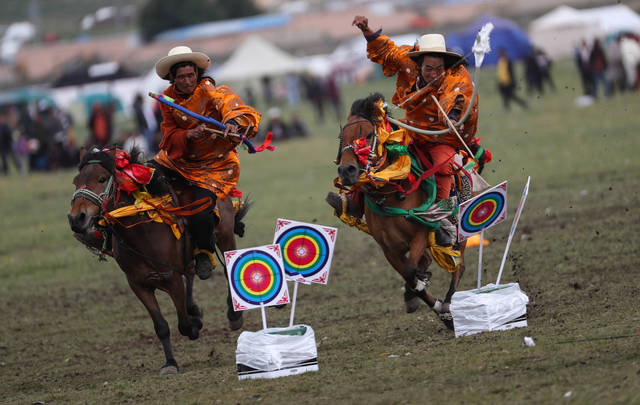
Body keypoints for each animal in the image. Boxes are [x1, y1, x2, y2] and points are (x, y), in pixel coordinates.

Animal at [68, 148, 248, 372]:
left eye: (101, 179)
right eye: (76, 181)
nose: (76, 218)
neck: (142, 233)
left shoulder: (171, 278)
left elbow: (183, 324)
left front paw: (195, 325)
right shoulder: (139, 285)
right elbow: (161, 326)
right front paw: (170, 362)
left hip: (224, 235)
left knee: (226, 269)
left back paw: (233, 316)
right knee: (191, 273)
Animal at [328, 93, 468, 326]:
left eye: (368, 135)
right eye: (342, 137)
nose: (347, 171)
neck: (391, 193)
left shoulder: (420, 234)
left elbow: (411, 271)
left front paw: (430, 300)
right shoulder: (388, 248)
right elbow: (407, 275)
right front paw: (419, 295)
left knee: (459, 265)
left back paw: (449, 303)